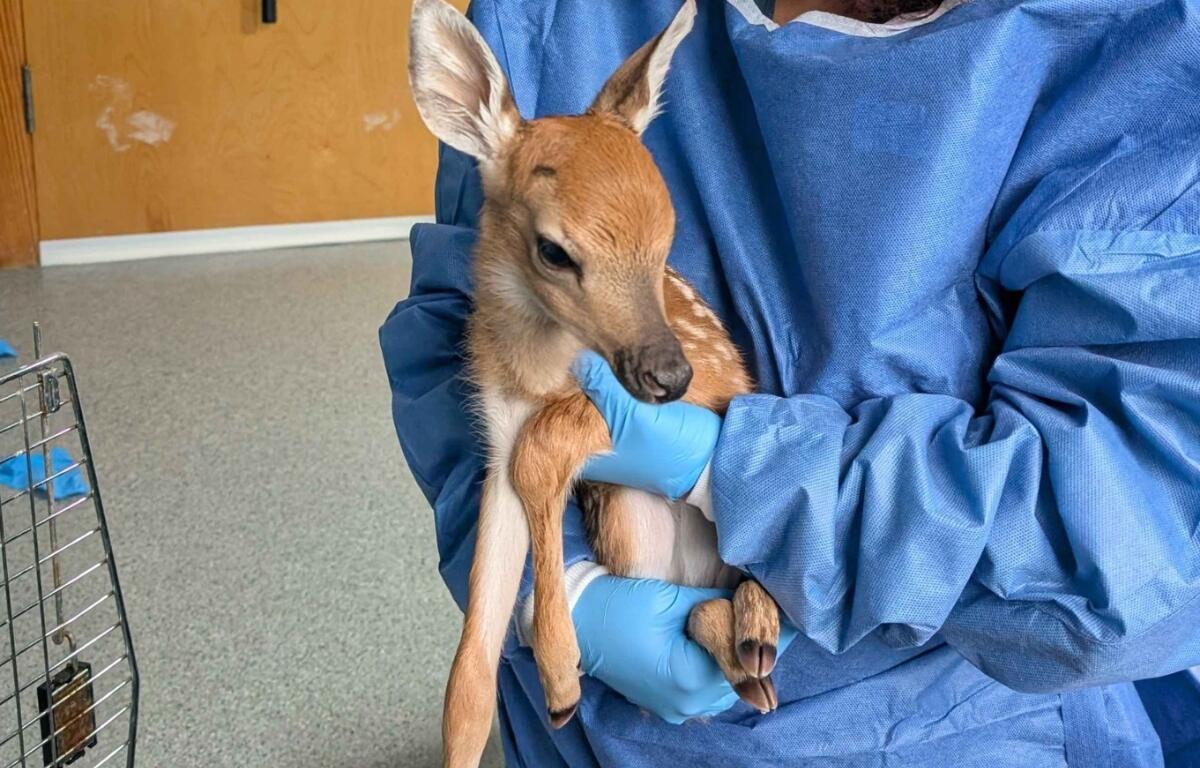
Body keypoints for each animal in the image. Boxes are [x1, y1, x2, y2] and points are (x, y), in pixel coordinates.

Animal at [407, 1, 783, 765]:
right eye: (554, 250)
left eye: (669, 237)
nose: (669, 374)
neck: (535, 370)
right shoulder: (497, 430)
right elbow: (470, 669)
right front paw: (548, 680)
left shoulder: (708, 380)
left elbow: (546, 446)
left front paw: (559, 676)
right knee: (691, 606)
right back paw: (739, 657)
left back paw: (757, 633)